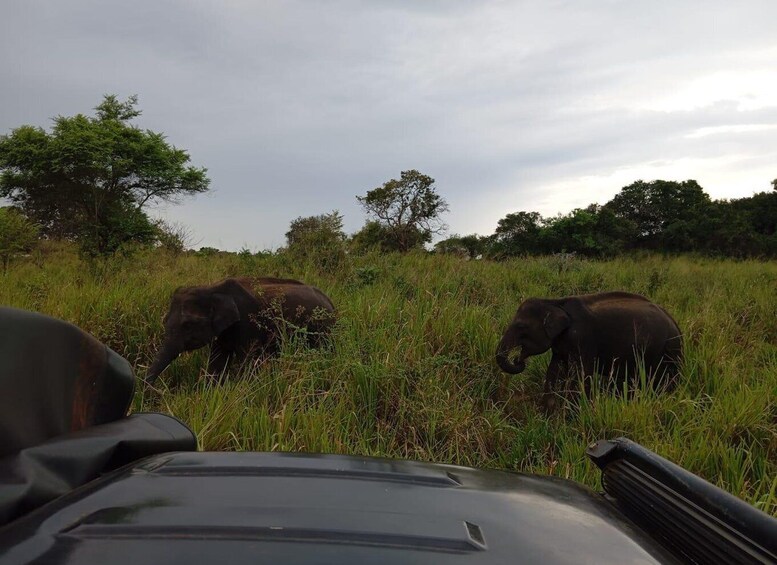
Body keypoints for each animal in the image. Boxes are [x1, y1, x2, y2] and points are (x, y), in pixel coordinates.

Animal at [147, 276, 334, 382]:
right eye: (164, 321)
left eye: (187, 325)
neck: (211, 288)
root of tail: (330, 301)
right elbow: (217, 360)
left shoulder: (248, 321)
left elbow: (248, 361)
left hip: (323, 329)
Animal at [494, 290, 684, 410]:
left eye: (521, 326)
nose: (518, 360)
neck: (554, 302)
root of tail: (676, 325)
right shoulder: (561, 344)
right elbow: (555, 369)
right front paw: (546, 413)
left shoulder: (582, 338)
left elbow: (581, 374)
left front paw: (569, 415)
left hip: (670, 351)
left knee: (666, 381)